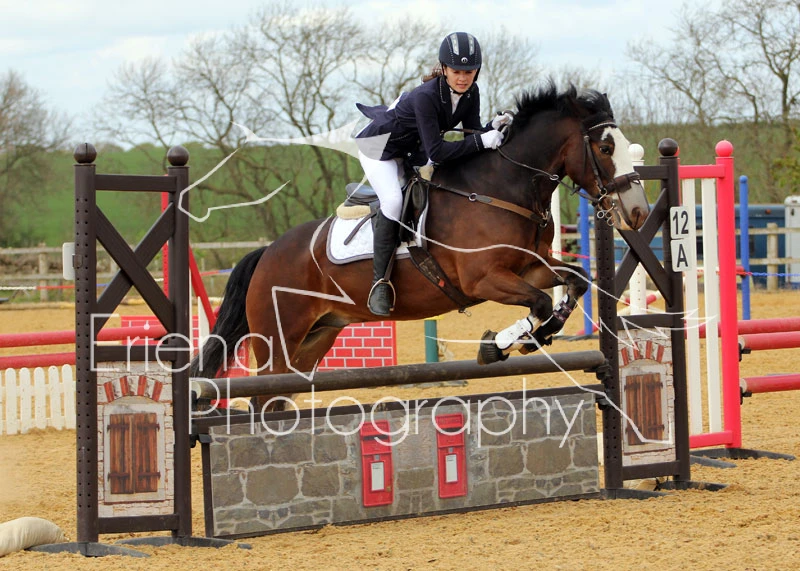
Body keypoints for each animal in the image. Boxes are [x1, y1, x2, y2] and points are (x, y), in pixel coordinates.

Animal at [190, 83, 650, 406]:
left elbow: (576, 281)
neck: (501, 188)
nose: (638, 212)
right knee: (263, 397)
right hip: (277, 340)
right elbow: (536, 302)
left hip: (316, 337)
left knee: (281, 395)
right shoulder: (484, 278)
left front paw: (539, 335)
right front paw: (497, 346)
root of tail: (267, 253)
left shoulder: (529, 267)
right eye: (605, 147)